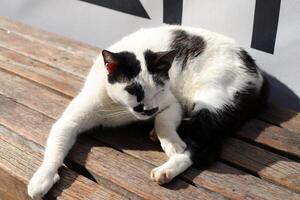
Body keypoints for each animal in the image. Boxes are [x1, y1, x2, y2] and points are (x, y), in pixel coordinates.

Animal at [27, 25, 268, 198]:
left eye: (159, 89)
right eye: (134, 90)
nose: (151, 108)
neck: (120, 110)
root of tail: (256, 69)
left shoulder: (171, 103)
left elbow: (164, 122)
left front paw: (171, 143)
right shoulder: (69, 121)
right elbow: (55, 148)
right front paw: (42, 178)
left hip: (212, 100)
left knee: (205, 147)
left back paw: (167, 169)